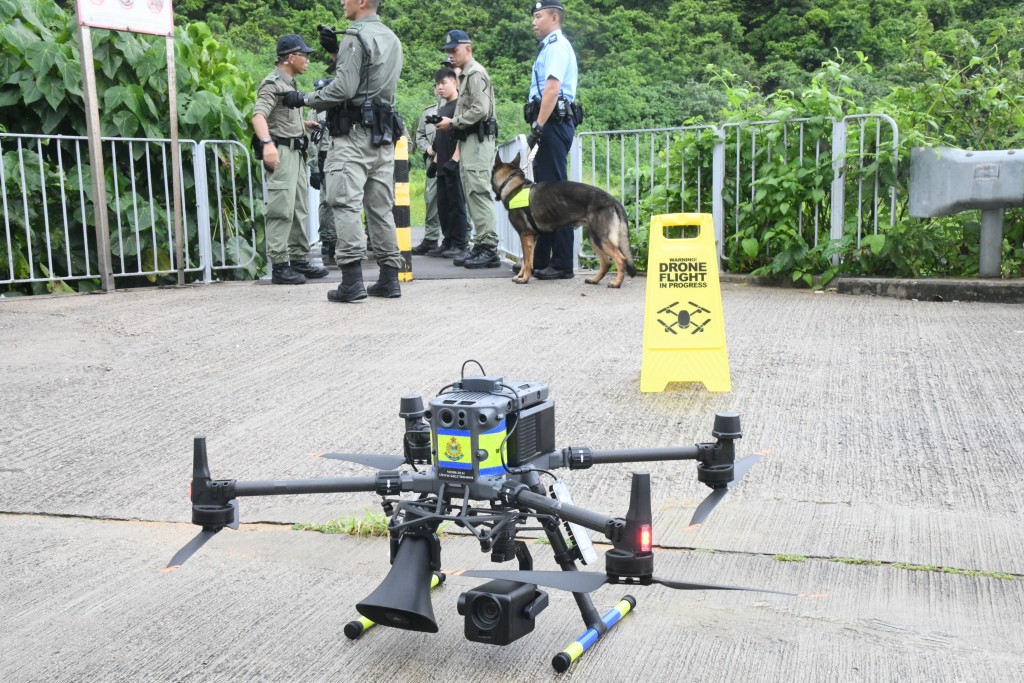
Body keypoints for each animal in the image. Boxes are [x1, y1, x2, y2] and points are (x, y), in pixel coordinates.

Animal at [491, 151, 634, 286]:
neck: (511, 184)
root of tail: (613, 200)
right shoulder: (531, 237)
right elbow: (528, 259)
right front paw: (520, 276)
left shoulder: (525, 235)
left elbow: (526, 261)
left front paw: (524, 278)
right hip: (594, 238)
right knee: (606, 262)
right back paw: (594, 280)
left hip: (601, 238)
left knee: (621, 259)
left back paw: (616, 283)